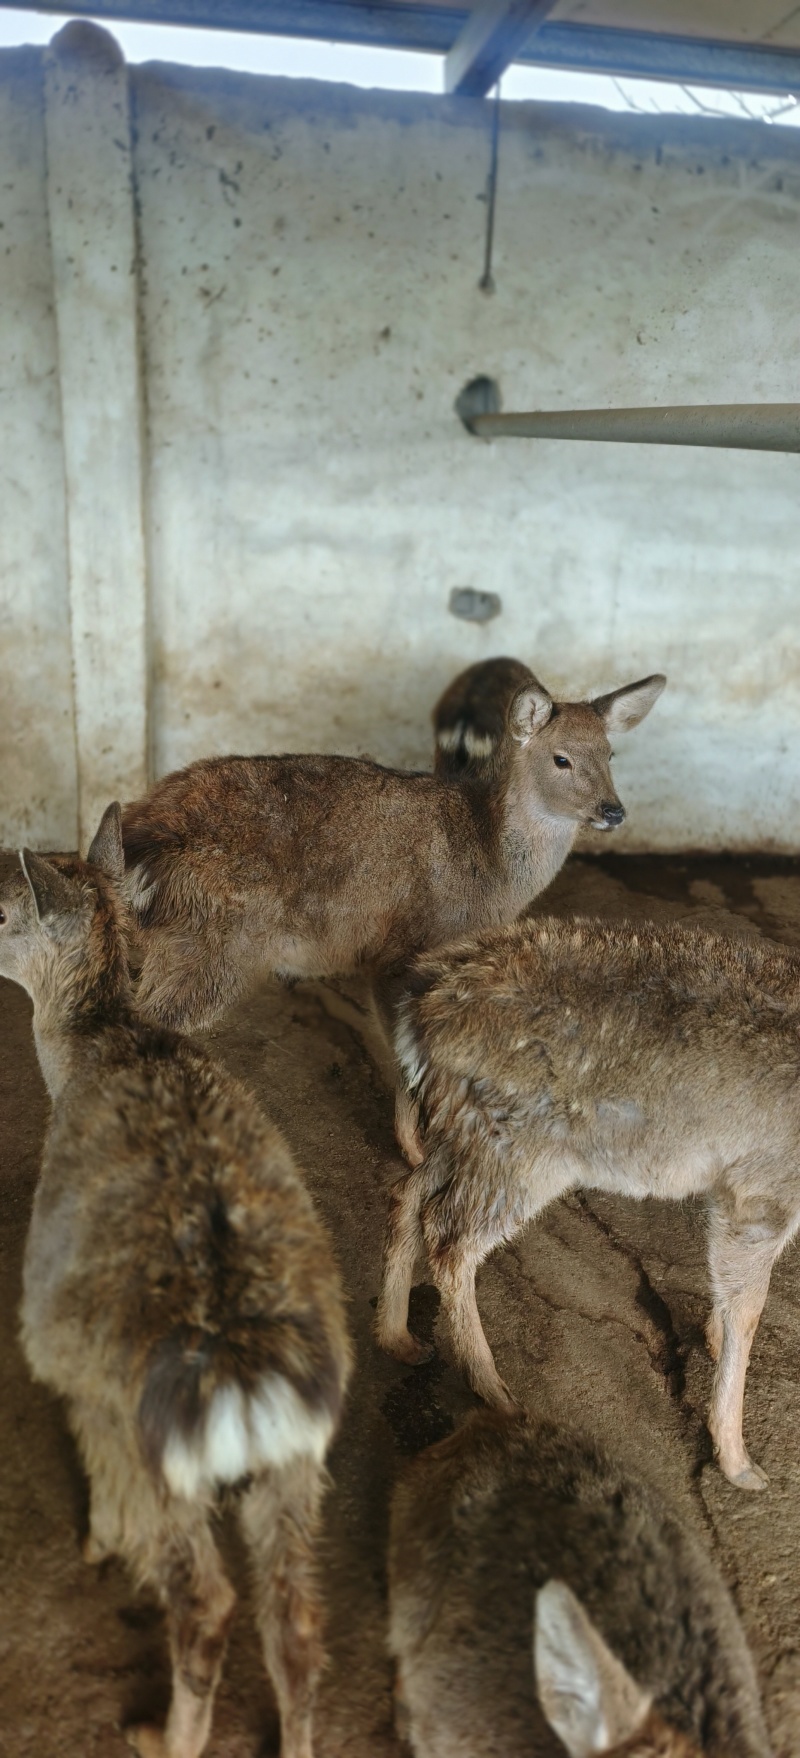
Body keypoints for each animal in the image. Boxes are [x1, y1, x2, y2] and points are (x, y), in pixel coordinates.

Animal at [0, 804, 352, 1758]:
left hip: (160, 1452)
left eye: (0, 907)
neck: (103, 1046)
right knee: (297, 1621)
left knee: (206, 1601)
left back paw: (158, 1732)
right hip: (298, 1464)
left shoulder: (74, 1378)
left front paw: (94, 1543)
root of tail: (243, 1374)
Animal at [121, 670, 665, 1156]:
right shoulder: (399, 952)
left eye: (610, 753)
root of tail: (142, 834)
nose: (613, 810)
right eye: (561, 758)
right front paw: (414, 1150)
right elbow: (409, 1058)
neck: (490, 873)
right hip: (214, 945)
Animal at [376, 913, 800, 1492]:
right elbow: (749, 1308)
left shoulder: (730, 1191)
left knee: (410, 1192)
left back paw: (397, 1336)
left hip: (466, 1132)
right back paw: (494, 1391)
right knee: (447, 1236)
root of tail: (417, 1003)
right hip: (523, 1151)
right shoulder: (764, 1192)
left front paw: (711, 1343)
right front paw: (738, 1461)